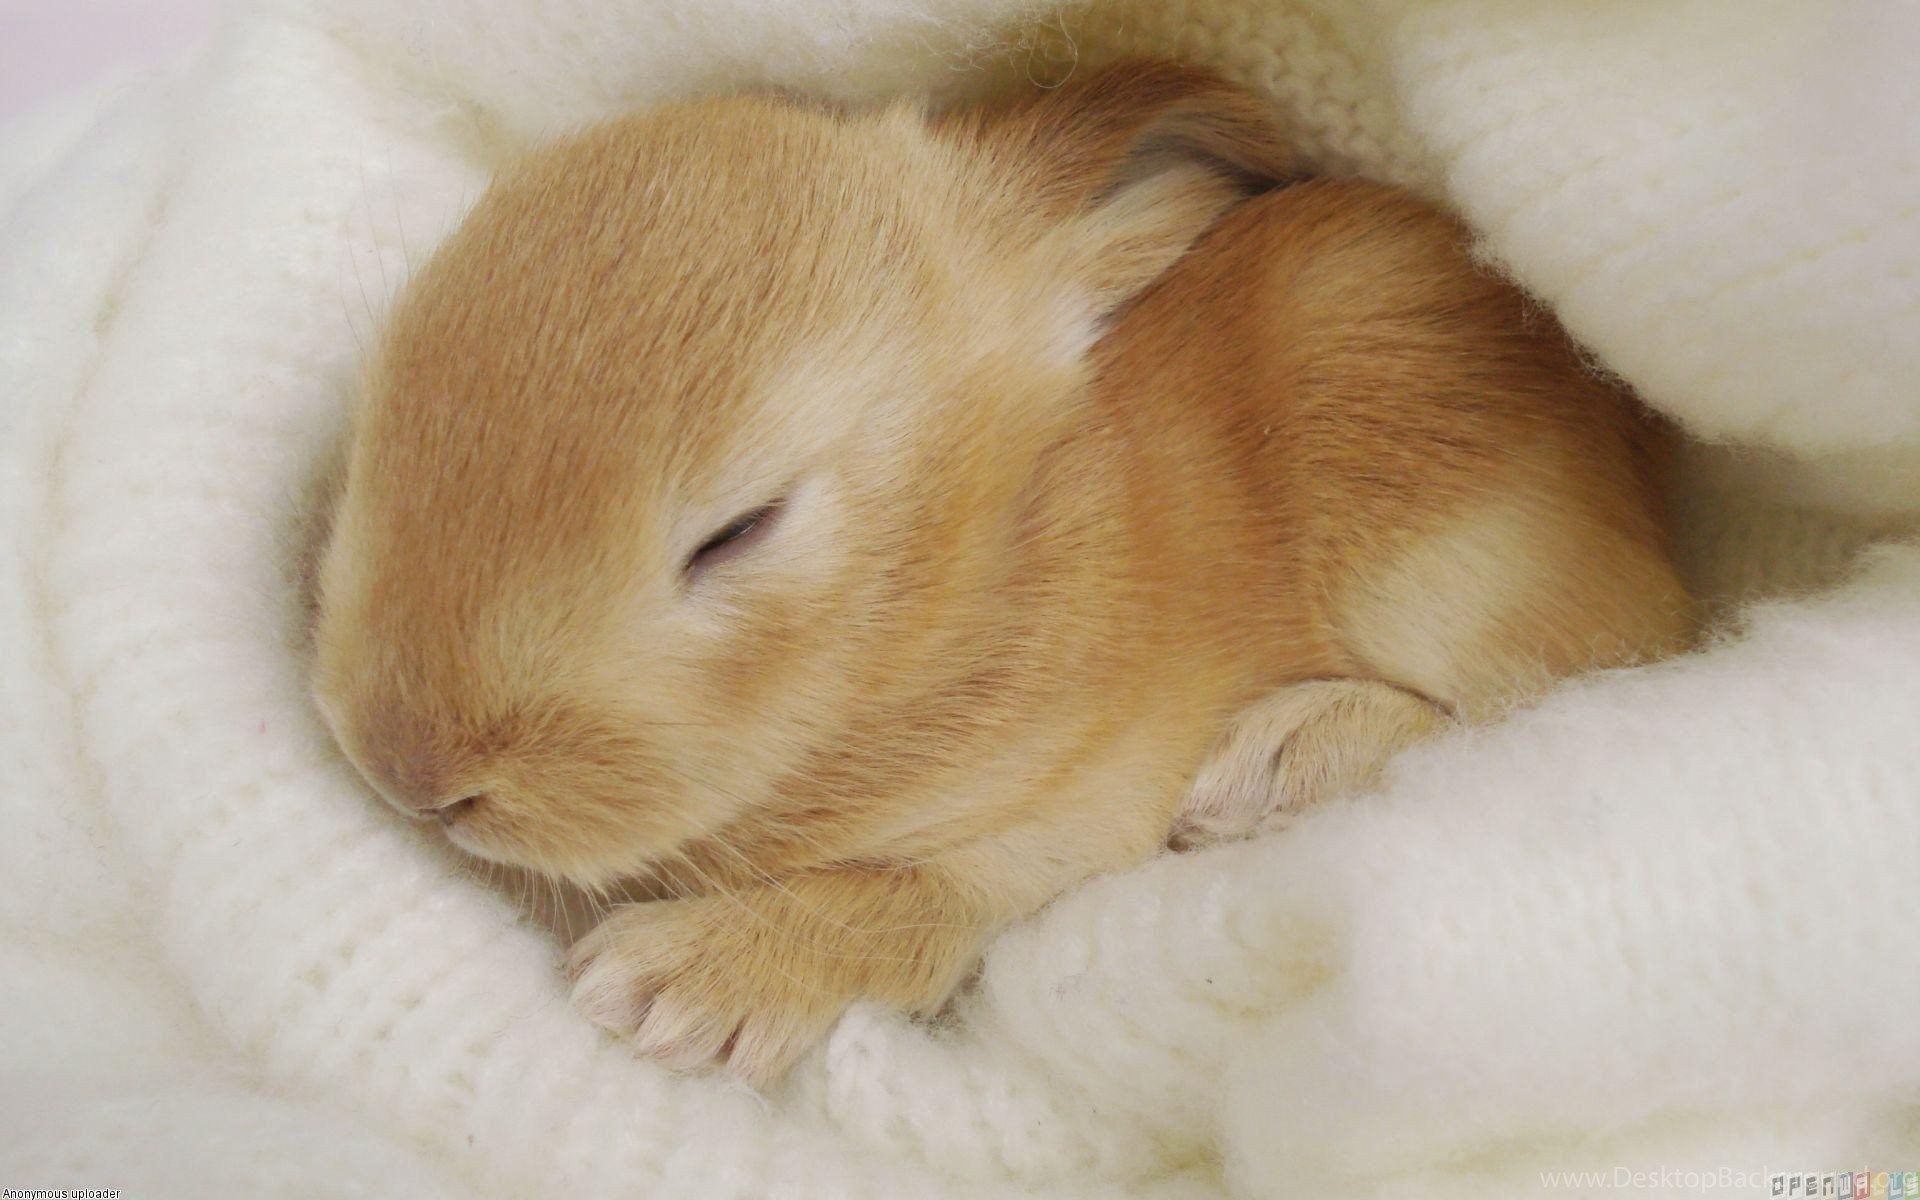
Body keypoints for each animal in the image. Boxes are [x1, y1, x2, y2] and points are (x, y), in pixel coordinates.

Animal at [309, 62, 1695, 1084]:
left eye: (738, 531)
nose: (409, 768)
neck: (959, 580)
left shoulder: (1057, 822)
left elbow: (900, 903)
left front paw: (666, 986)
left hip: (1435, 536)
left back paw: (1270, 764)